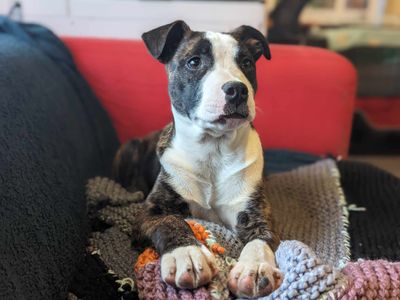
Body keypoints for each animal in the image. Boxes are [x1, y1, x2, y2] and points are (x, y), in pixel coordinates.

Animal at [111, 20, 282, 298]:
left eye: (246, 62)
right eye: (194, 62)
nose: (237, 90)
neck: (213, 149)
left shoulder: (257, 213)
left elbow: (260, 238)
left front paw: (255, 268)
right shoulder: (149, 212)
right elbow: (171, 221)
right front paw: (187, 254)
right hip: (127, 148)